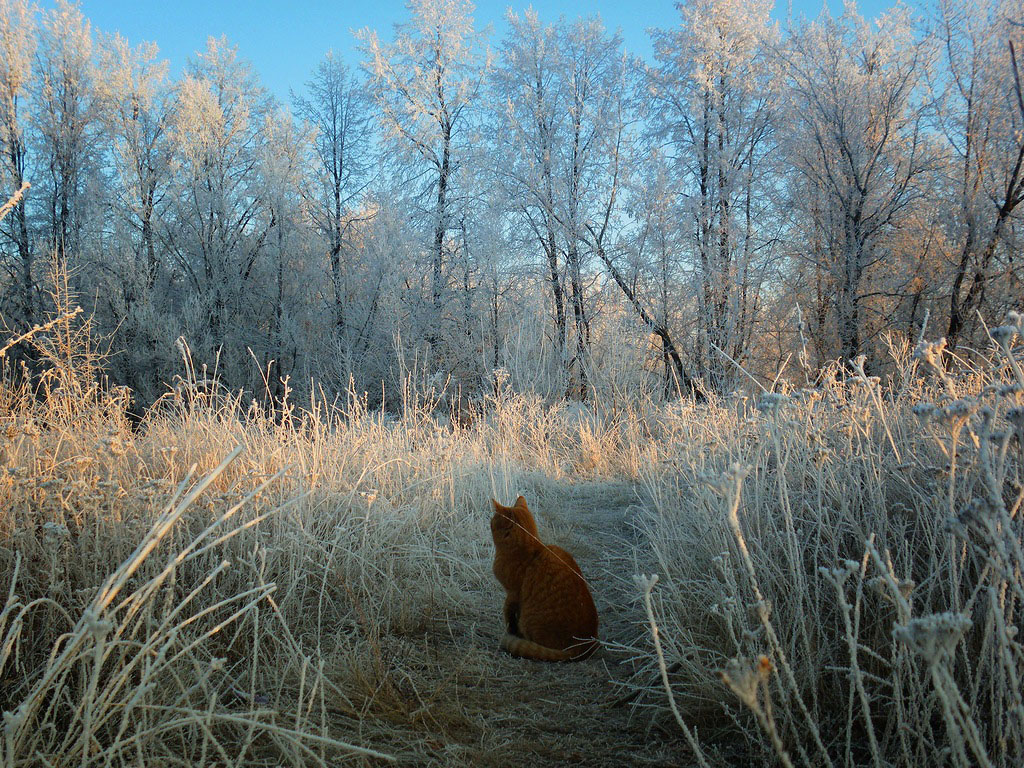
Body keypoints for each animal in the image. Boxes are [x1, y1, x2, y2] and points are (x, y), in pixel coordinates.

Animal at [489, 499, 598, 663]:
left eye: (492, 521)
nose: (489, 523)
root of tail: (584, 647)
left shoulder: (512, 594)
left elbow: (509, 616)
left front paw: (511, 633)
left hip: (528, 620)